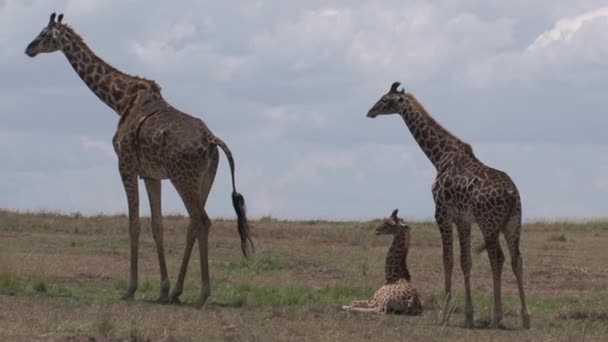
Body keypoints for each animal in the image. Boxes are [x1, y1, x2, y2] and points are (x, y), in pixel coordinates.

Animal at [24, 12, 254, 306]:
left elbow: (133, 224)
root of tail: (213, 140)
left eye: (43, 34)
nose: (28, 49)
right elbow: (157, 226)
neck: (119, 100)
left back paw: (202, 293)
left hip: (183, 177)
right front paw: (163, 288)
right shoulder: (151, 174)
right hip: (205, 178)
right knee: (194, 222)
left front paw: (131, 288)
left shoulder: (125, 165)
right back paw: (178, 292)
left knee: (202, 220)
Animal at [366, 81, 532, 328]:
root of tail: (512, 194)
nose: (370, 112)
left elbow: (447, 259)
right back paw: (525, 318)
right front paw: (468, 315)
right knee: (516, 259)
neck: (439, 157)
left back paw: (496, 317)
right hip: (513, 222)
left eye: (385, 100)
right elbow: (465, 261)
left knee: (497, 258)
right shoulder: (464, 220)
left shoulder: (442, 214)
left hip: (489, 223)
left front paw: (444, 314)